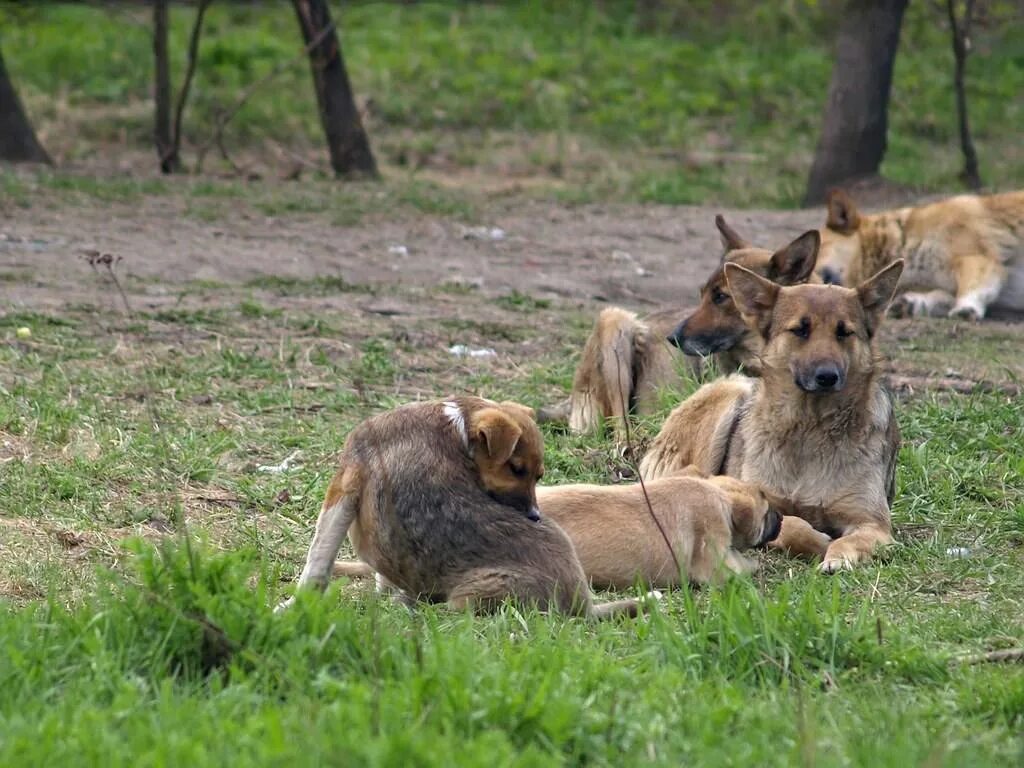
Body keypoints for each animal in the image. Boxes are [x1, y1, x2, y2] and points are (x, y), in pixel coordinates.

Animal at [276, 397, 647, 618]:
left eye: (538, 476)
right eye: (518, 470)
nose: (533, 516)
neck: (455, 424)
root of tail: (583, 603)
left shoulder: (344, 487)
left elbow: (317, 562)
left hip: (467, 598)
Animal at [638, 262, 905, 573]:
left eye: (844, 332)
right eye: (800, 330)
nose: (827, 376)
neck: (809, 428)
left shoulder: (872, 523)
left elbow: (851, 539)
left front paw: (837, 557)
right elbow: (791, 525)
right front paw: (816, 540)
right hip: (733, 391)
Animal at [815, 189, 1024, 321]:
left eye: (820, 245)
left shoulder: (978, 259)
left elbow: (972, 289)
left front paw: (966, 308)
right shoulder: (946, 287)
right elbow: (938, 297)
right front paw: (909, 303)